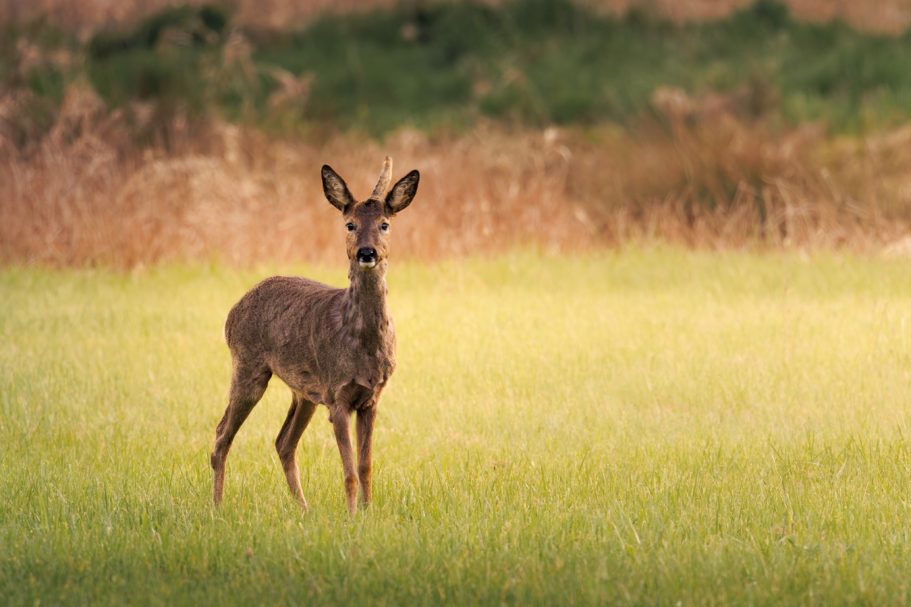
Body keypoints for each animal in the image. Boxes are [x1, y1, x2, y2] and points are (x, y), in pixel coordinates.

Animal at [210, 157, 420, 515]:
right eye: (349, 224)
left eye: (384, 224)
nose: (367, 252)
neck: (362, 344)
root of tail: (232, 311)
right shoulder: (336, 394)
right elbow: (349, 471)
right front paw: (351, 516)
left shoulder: (371, 398)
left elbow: (365, 466)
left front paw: (368, 513)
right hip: (248, 365)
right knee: (222, 434)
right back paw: (217, 507)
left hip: (303, 392)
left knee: (283, 441)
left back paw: (304, 509)